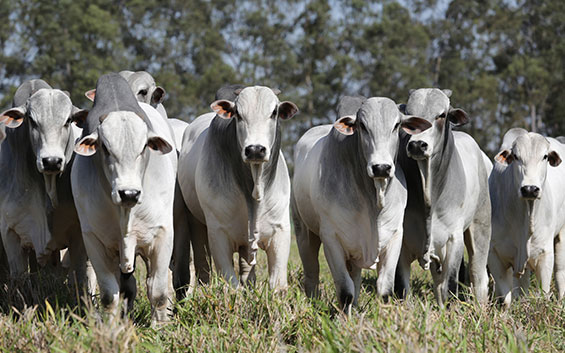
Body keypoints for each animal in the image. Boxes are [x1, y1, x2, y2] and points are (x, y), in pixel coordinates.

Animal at [0, 78, 89, 284]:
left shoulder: (79, 232)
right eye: (32, 121)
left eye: (68, 121)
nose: (52, 161)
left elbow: (82, 277)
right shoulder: (9, 233)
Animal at [394, 88, 492, 306]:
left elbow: (451, 286)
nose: (417, 145)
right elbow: (402, 290)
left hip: (480, 227)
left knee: (478, 277)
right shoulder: (401, 243)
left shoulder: (453, 240)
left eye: (441, 115)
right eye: (409, 116)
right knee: (438, 285)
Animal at [486, 129, 564, 306]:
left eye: (545, 156)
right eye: (515, 156)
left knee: (560, 272)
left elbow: (543, 294)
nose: (529, 189)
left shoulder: (545, 255)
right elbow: (507, 297)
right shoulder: (495, 255)